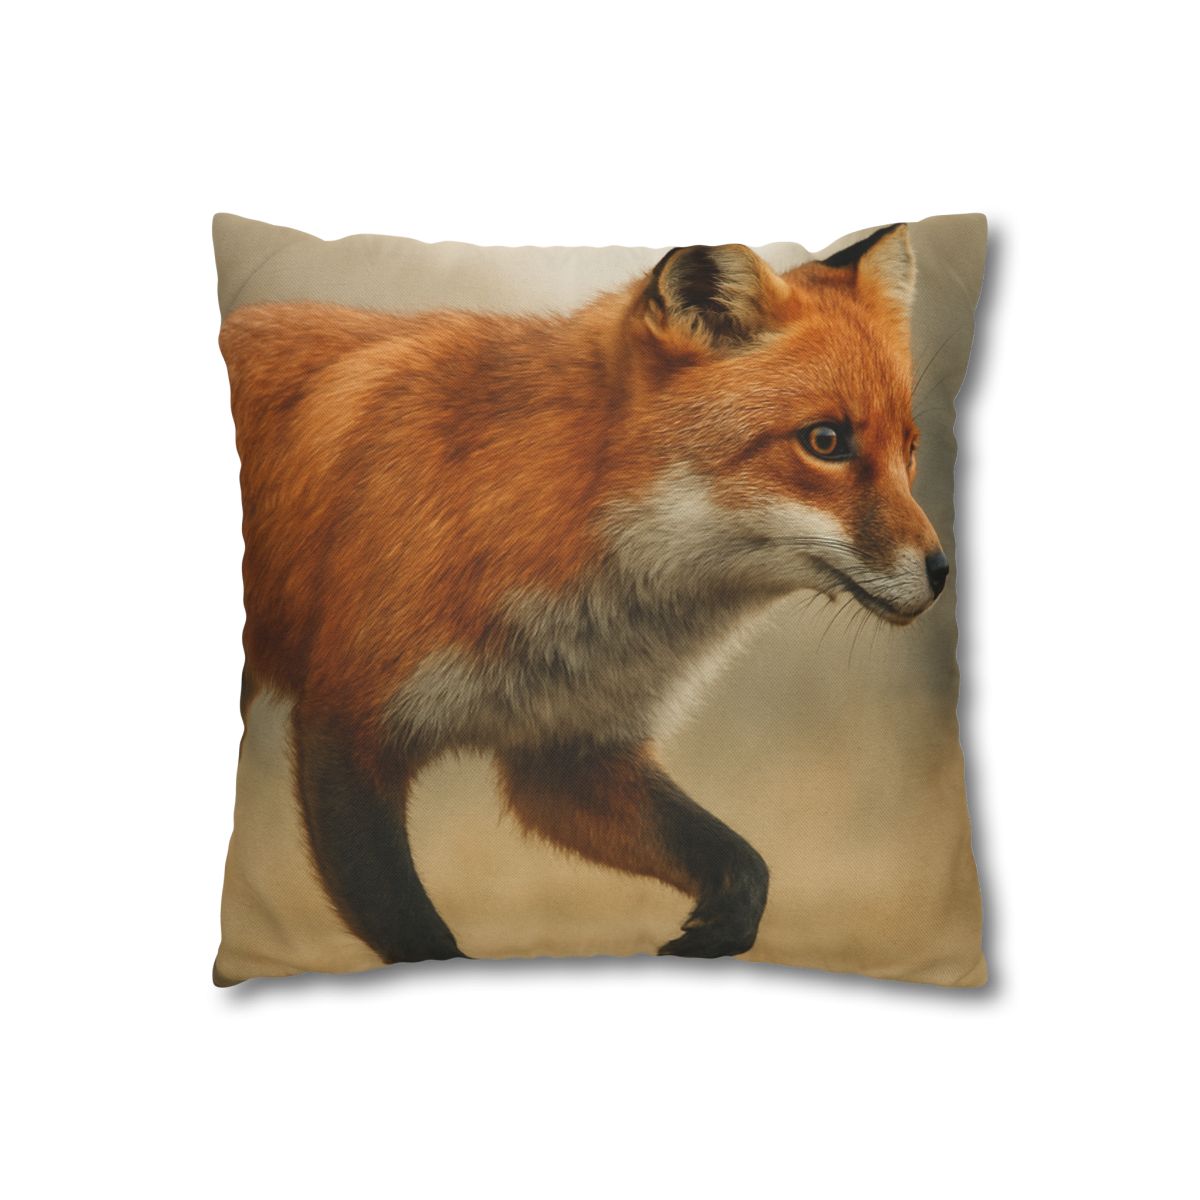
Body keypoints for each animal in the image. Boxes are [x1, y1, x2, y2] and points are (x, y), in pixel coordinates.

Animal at [220, 222, 948, 966]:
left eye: (910, 450)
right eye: (825, 441)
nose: (943, 570)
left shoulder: (568, 752)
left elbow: (744, 863)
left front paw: (715, 933)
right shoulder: (346, 724)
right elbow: (414, 930)